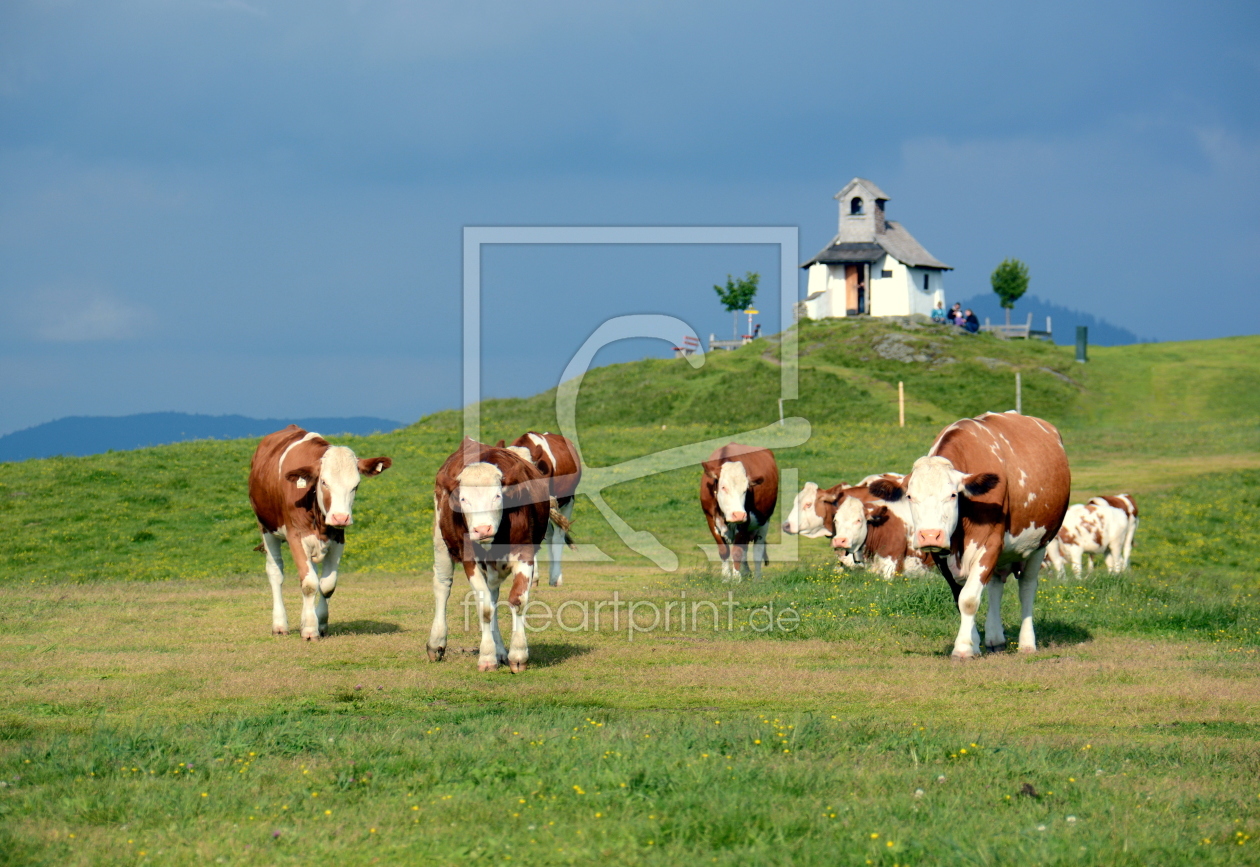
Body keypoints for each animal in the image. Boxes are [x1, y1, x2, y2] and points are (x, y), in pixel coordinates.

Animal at [243, 423, 385, 640]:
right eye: (324, 482)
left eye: (356, 485)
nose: (341, 517)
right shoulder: (296, 536)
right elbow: (309, 584)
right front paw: (310, 630)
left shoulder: (338, 538)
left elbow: (326, 585)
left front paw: (320, 624)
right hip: (266, 527)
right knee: (275, 572)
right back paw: (280, 625)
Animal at [425, 436, 549, 675]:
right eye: (463, 499)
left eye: (497, 496)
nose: (482, 530)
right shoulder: (469, 559)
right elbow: (483, 607)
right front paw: (487, 657)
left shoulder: (525, 552)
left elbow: (517, 600)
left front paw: (517, 655)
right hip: (440, 541)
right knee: (443, 585)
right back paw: (437, 643)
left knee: (493, 595)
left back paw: (501, 650)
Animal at [700, 443, 776, 579]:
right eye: (723, 487)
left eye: (746, 489)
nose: (738, 515)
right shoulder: (710, 518)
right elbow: (724, 551)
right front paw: (726, 578)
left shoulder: (746, 521)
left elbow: (737, 552)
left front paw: (736, 578)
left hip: (764, 522)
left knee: (757, 551)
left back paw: (757, 578)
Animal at [871, 410, 1068, 655]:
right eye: (909, 496)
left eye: (953, 494)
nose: (930, 535)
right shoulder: (941, 555)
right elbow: (960, 598)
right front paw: (973, 642)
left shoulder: (989, 544)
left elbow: (969, 599)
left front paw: (963, 648)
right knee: (995, 586)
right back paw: (995, 637)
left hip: (1039, 544)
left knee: (1027, 588)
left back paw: (1026, 643)